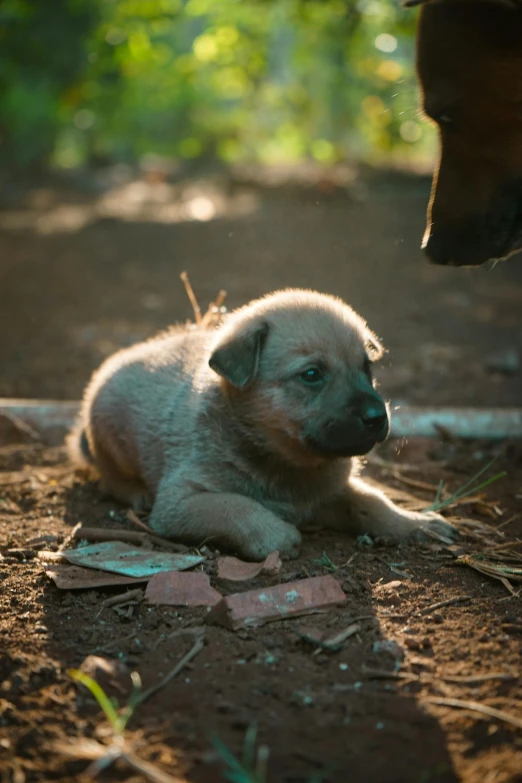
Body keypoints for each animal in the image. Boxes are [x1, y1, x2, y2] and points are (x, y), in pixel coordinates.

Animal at [70, 290, 456, 560]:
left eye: (367, 368)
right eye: (311, 375)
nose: (378, 417)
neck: (287, 465)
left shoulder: (332, 491)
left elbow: (374, 502)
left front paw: (416, 523)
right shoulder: (179, 501)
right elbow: (235, 505)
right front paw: (274, 533)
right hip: (109, 441)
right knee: (110, 477)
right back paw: (134, 491)